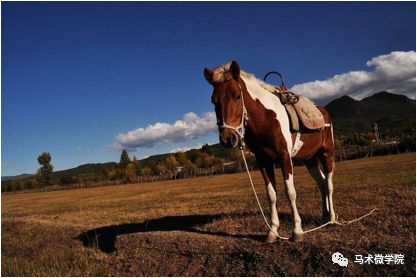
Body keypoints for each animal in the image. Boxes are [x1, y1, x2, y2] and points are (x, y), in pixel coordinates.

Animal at [203, 60, 336, 241]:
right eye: (213, 101)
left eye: (237, 96)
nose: (227, 138)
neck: (266, 119)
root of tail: (323, 112)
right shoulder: (264, 161)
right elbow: (271, 195)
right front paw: (273, 231)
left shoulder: (285, 158)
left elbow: (290, 192)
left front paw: (297, 231)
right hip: (310, 159)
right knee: (321, 183)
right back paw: (324, 216)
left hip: (327, 153)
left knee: (328, 184)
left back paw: (332, 219)